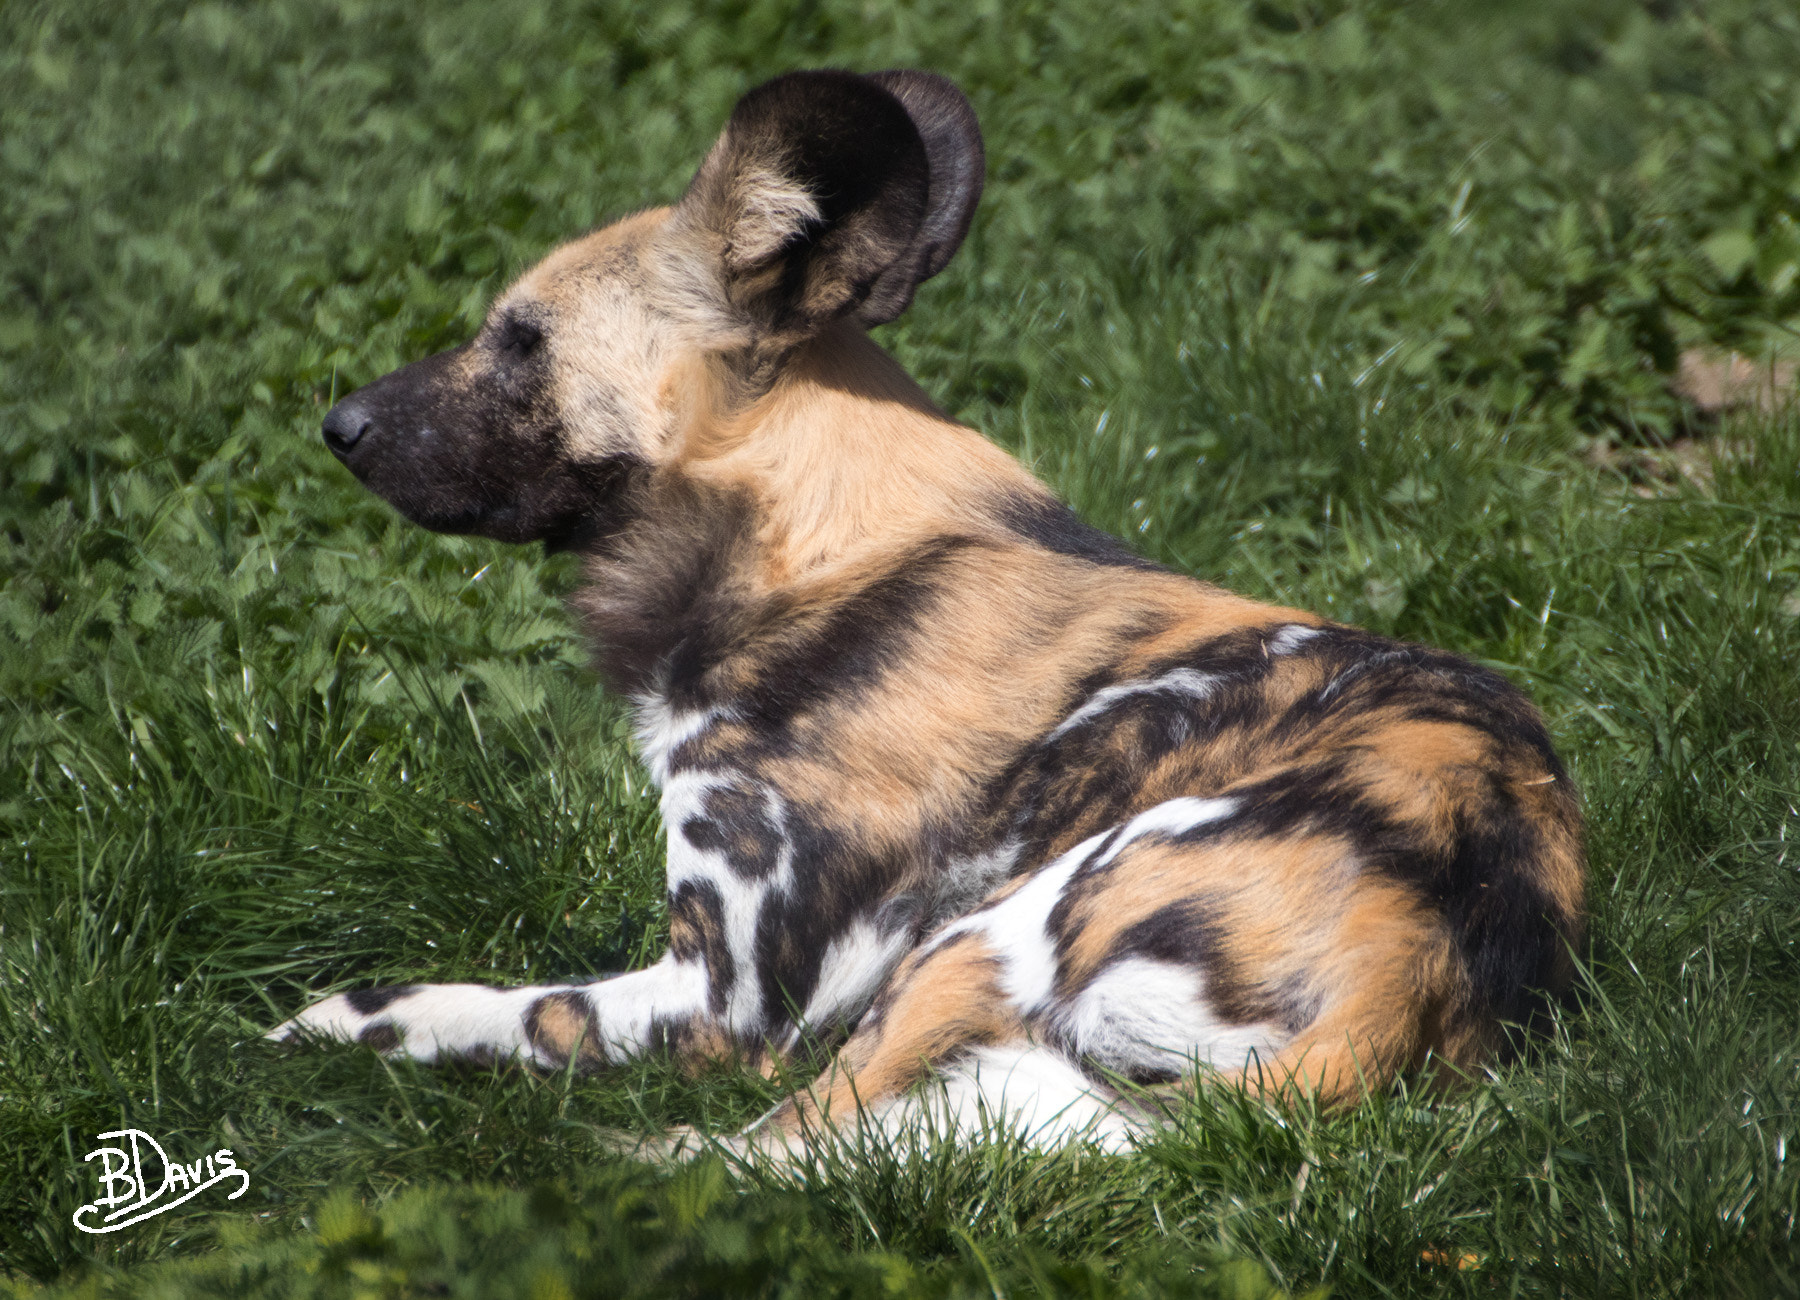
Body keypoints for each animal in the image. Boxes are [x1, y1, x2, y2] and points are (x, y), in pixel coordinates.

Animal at [273, 65, 1584, 1152]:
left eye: (521, 341)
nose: (338, 424)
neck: (812, 547)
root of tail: (1416, 956)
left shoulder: (727, 998)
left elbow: (488, 1006)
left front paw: (326, 1024)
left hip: (977, 938)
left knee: (774, 1151)